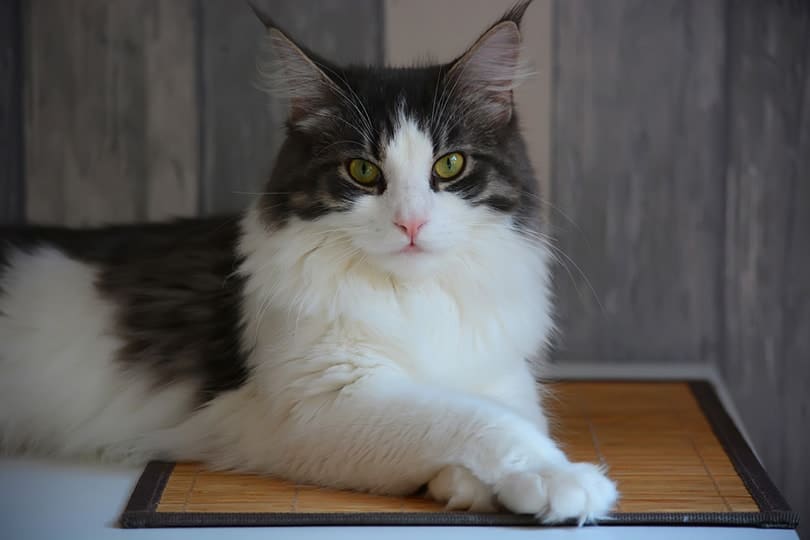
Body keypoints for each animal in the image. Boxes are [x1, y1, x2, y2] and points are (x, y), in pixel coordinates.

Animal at [0, 0, 616, 524]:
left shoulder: (499, 376)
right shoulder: (319, 404)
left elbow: (499, 413)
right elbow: (476, 420)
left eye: (450, 165)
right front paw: (558, 477)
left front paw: (469, 485)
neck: (414, 300)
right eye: (363, 171)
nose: (411, 223)